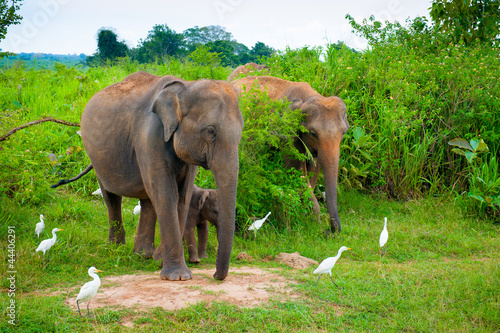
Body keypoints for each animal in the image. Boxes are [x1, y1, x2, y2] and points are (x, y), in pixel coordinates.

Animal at [81, 70, 244, 280]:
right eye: (210, 131)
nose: (215, 275)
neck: (185, 86)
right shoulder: (149, 136)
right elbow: (167, 193)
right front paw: (178, 276)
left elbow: (182, 195)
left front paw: (159, 261)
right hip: (96, 157)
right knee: (112, 197)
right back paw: (116, 249)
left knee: (147, 200)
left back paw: (143, 255)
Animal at [230, 76, 348, 231]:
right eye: (313, 133)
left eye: (343, 133)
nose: (329, 231)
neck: (308, 97)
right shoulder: (287, 132)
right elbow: (295, 169)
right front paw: (314, 222)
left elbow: (313, 170)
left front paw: (308, 217)